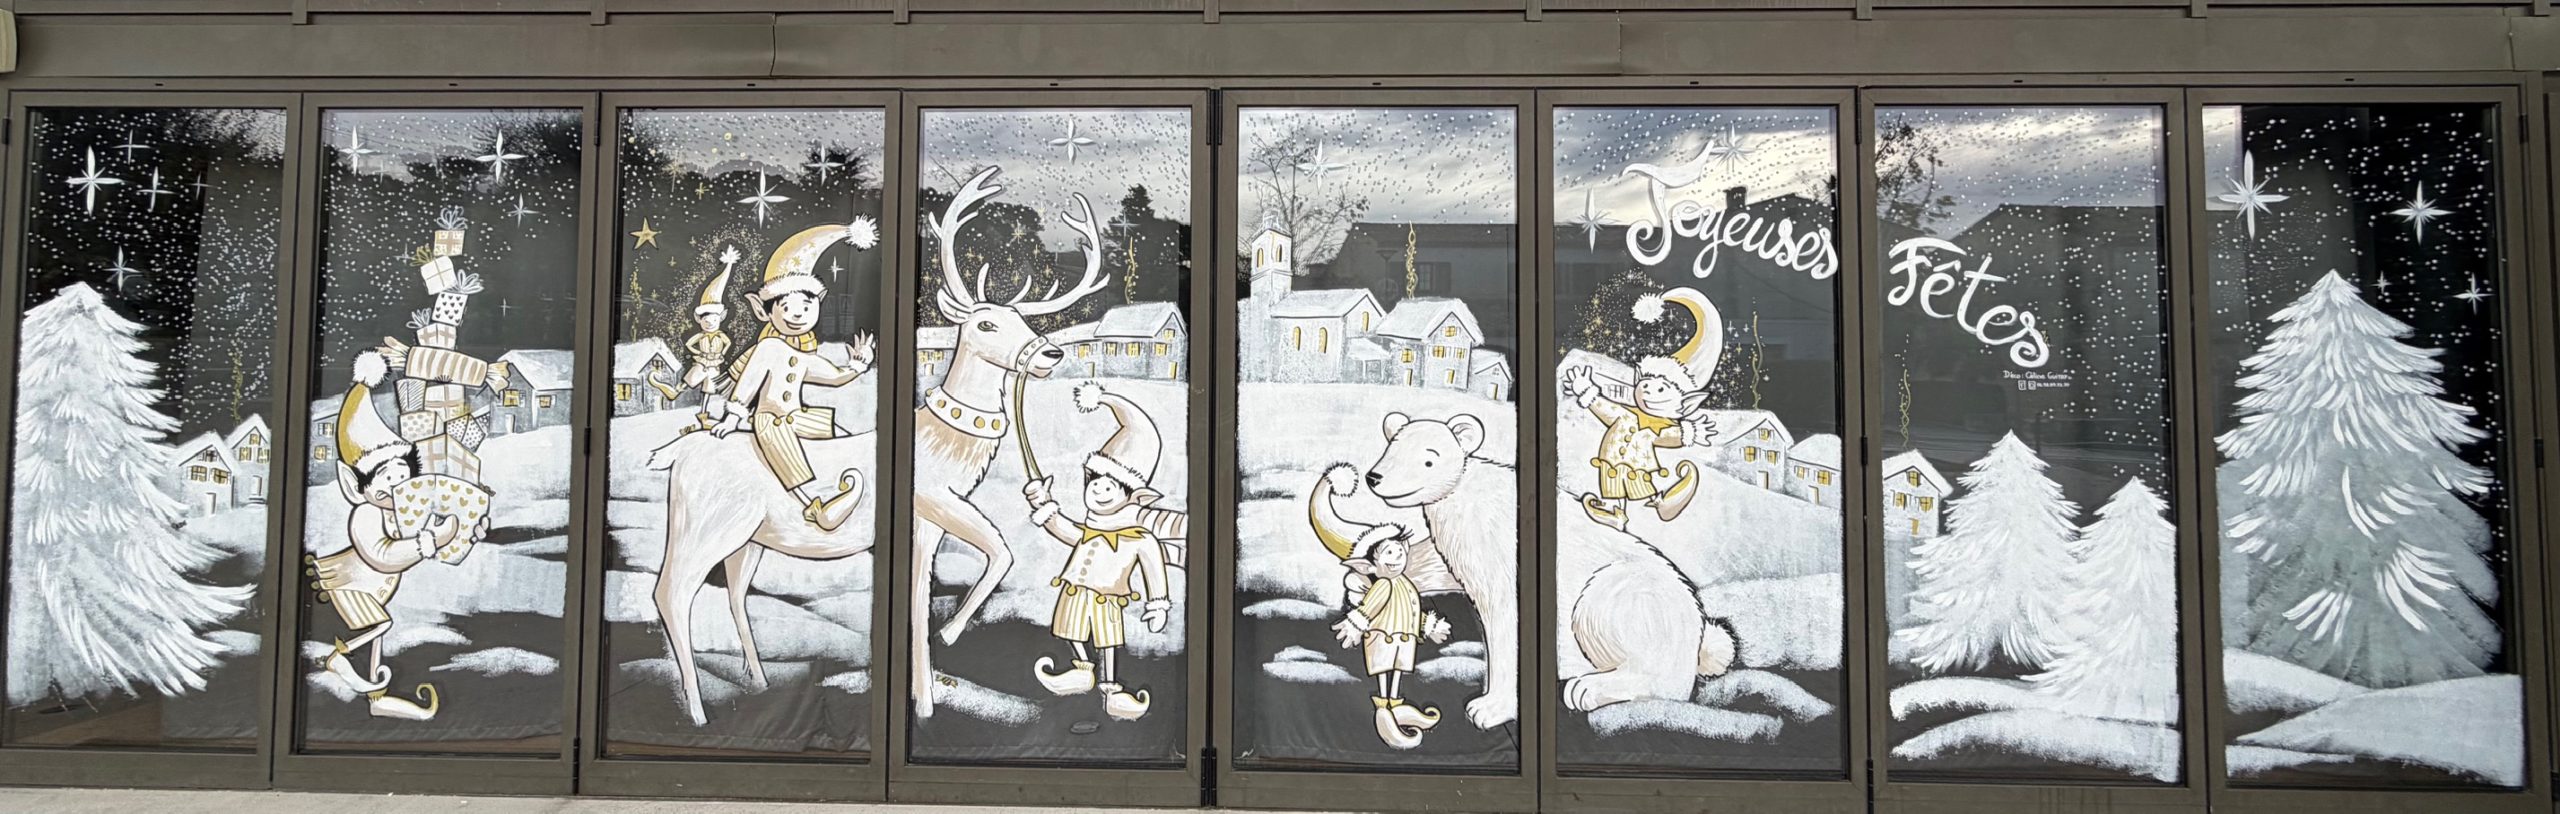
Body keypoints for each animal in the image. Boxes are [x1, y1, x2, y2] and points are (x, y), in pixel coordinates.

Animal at [910, 166, 1111, 717]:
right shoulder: (929, 498)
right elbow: (1000, 550)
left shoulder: (929, 521)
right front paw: (947, 639)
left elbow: (924, 594)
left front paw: (925, 696)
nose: (1049, 353)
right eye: (985, 322)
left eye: (1024, 320)